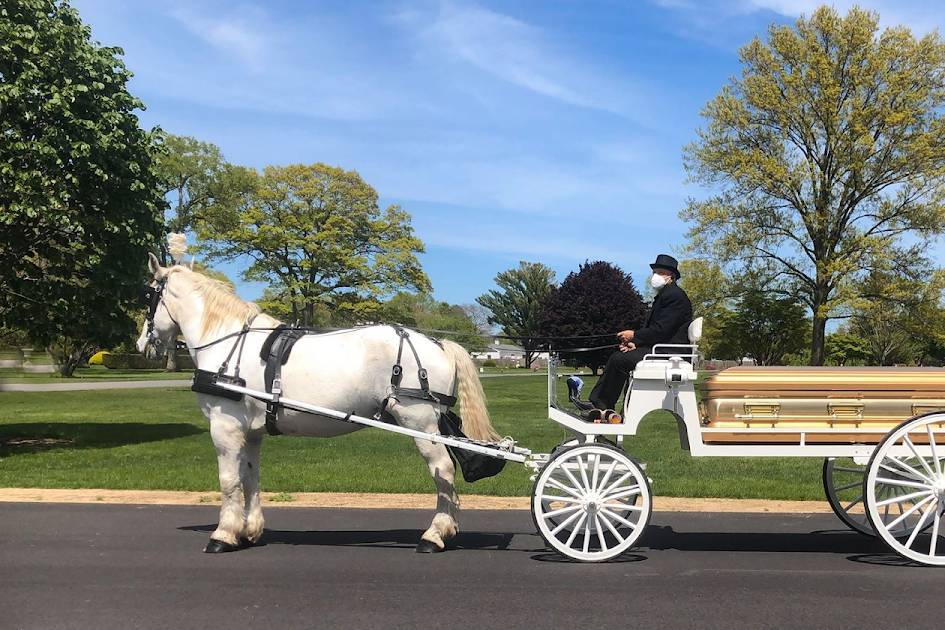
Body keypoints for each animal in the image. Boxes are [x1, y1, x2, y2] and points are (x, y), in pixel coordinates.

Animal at [137, 254, 502, 556]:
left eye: (148, 296)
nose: (143, 345)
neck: (229, 344)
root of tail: (438, 344)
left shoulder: (225, 427)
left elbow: (229, 480)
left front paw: (223, 535)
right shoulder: (251, 432)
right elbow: (250, 476)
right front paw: (249, 530)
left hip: (419, 421)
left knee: (443, 470)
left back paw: (435, 535)